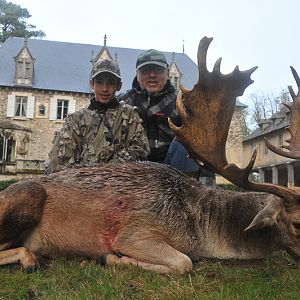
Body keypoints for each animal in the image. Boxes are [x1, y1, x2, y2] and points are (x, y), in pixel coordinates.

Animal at [0, 36, 300, 274]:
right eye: (296, 223)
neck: (201, 229)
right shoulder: (135, 234)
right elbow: (184, 263)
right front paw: (111, 258)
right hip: (25, 195)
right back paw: (31, 259)